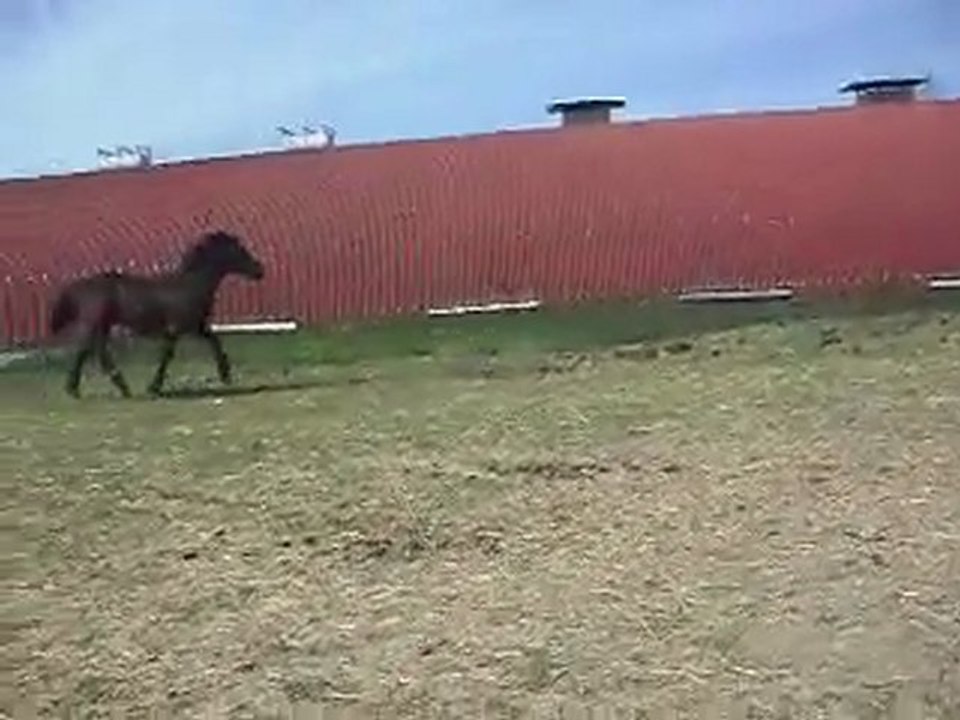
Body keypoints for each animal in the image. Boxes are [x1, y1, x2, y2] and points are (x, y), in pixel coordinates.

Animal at [48, 230, 265, 398]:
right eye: (238, 250)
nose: (260, 270)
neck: (190, 285)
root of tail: (79, 286)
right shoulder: (175, 329)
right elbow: (167, 355)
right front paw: (154, 388)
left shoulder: (197, 326)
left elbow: (215, 341)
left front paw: (225, 375)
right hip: (96, 323)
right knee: (87, 351)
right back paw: (94, 388)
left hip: (103, 325)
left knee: (92, 351)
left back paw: (107, 388)